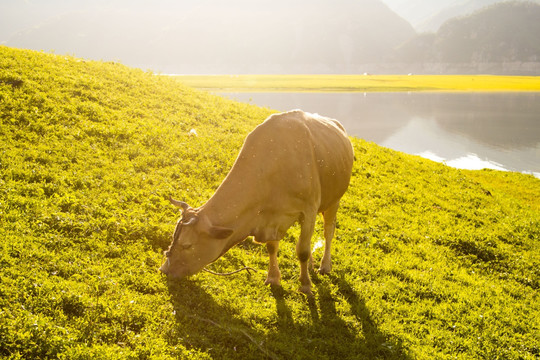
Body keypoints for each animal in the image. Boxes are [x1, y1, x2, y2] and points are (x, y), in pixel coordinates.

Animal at [159, 110, 354, 296]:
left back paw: (324, 265)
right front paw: (273, 277)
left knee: (328, 232)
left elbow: (302, 251)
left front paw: (305, 285)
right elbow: (272, 247)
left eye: (187, 245)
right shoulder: (270, 217)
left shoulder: (309, 209)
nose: (164, 269)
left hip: (335, 200)